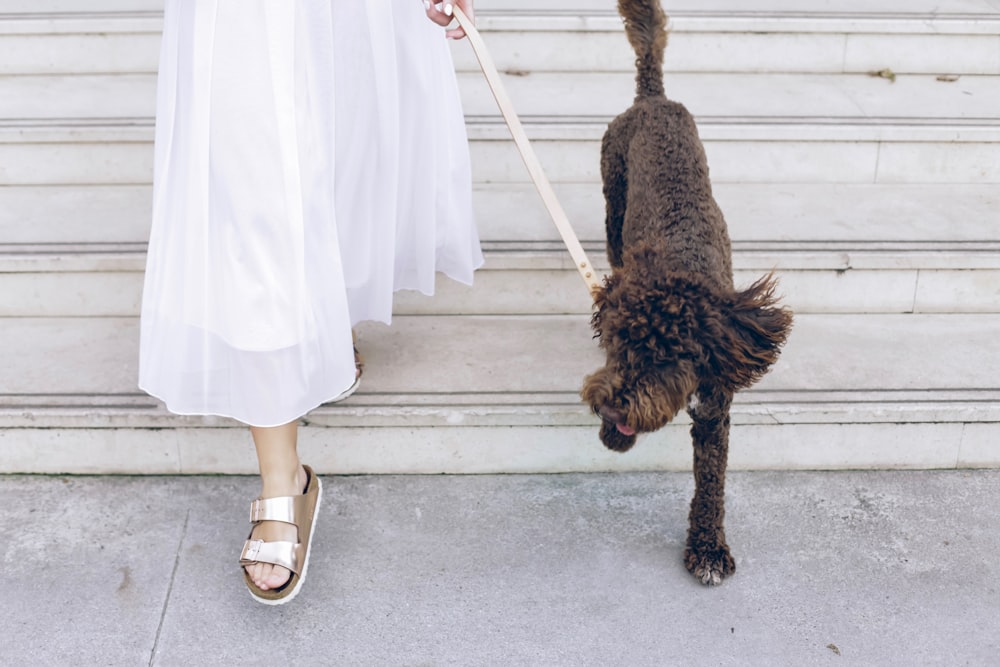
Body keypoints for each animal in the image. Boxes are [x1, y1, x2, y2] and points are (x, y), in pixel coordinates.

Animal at [584, 0, 792, 584]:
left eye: (666, 356)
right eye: (619, 344)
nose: (612, 406)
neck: (681, 266)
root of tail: (654, 98)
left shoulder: (716, 406)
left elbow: (711, 483)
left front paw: (708, 549)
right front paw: (614, 434)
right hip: (612, 198)